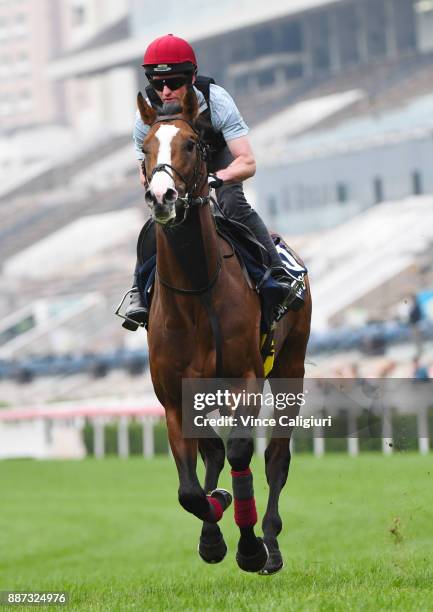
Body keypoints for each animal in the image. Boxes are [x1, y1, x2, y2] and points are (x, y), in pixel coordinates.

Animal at [135, 87, 310, 572]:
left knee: (276, 458)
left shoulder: (245, 380)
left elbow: (240, 453)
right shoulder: (175, 397)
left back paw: (270, 543)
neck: (197, 291)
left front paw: (249, 548)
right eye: (144, 149)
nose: (162, 196)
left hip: (290, 369)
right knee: (213, 454)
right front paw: (214, 522)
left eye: (192, 144)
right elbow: (190, 488)